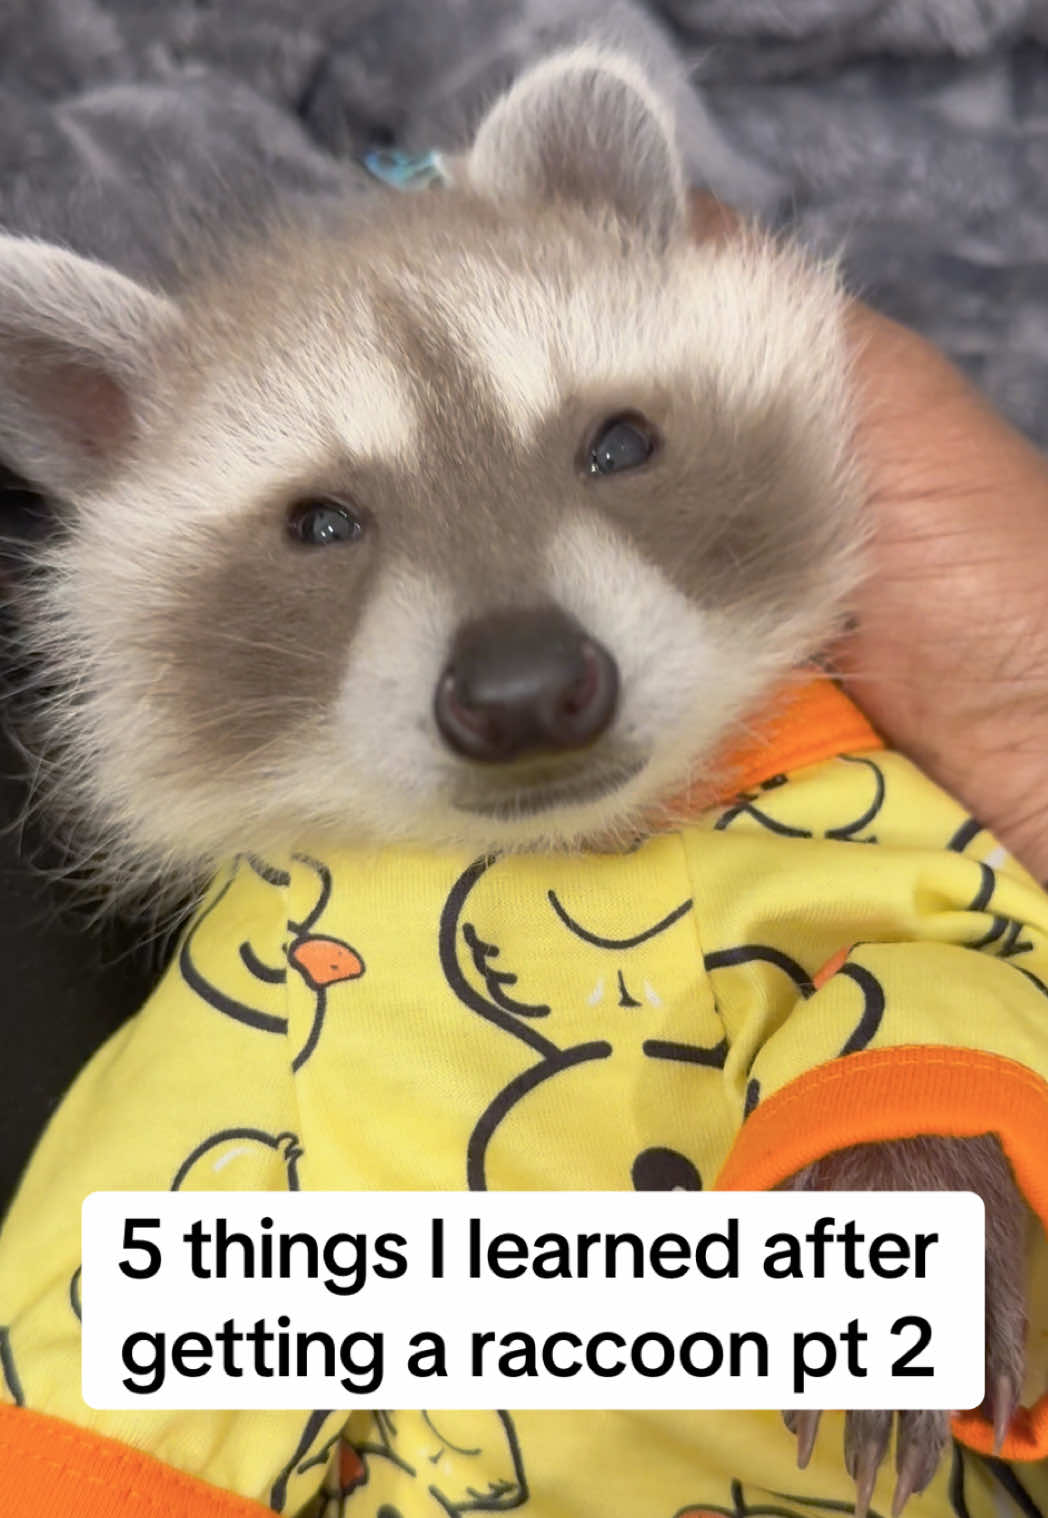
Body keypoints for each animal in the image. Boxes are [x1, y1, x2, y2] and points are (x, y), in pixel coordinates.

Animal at [0, 46, 1029, 1512]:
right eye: (321, 522)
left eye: (618, 443)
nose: (528, 690)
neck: (578, 847)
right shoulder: (217, 1067)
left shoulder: (862, 827)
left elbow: (943, 967)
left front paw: (908, 1177)